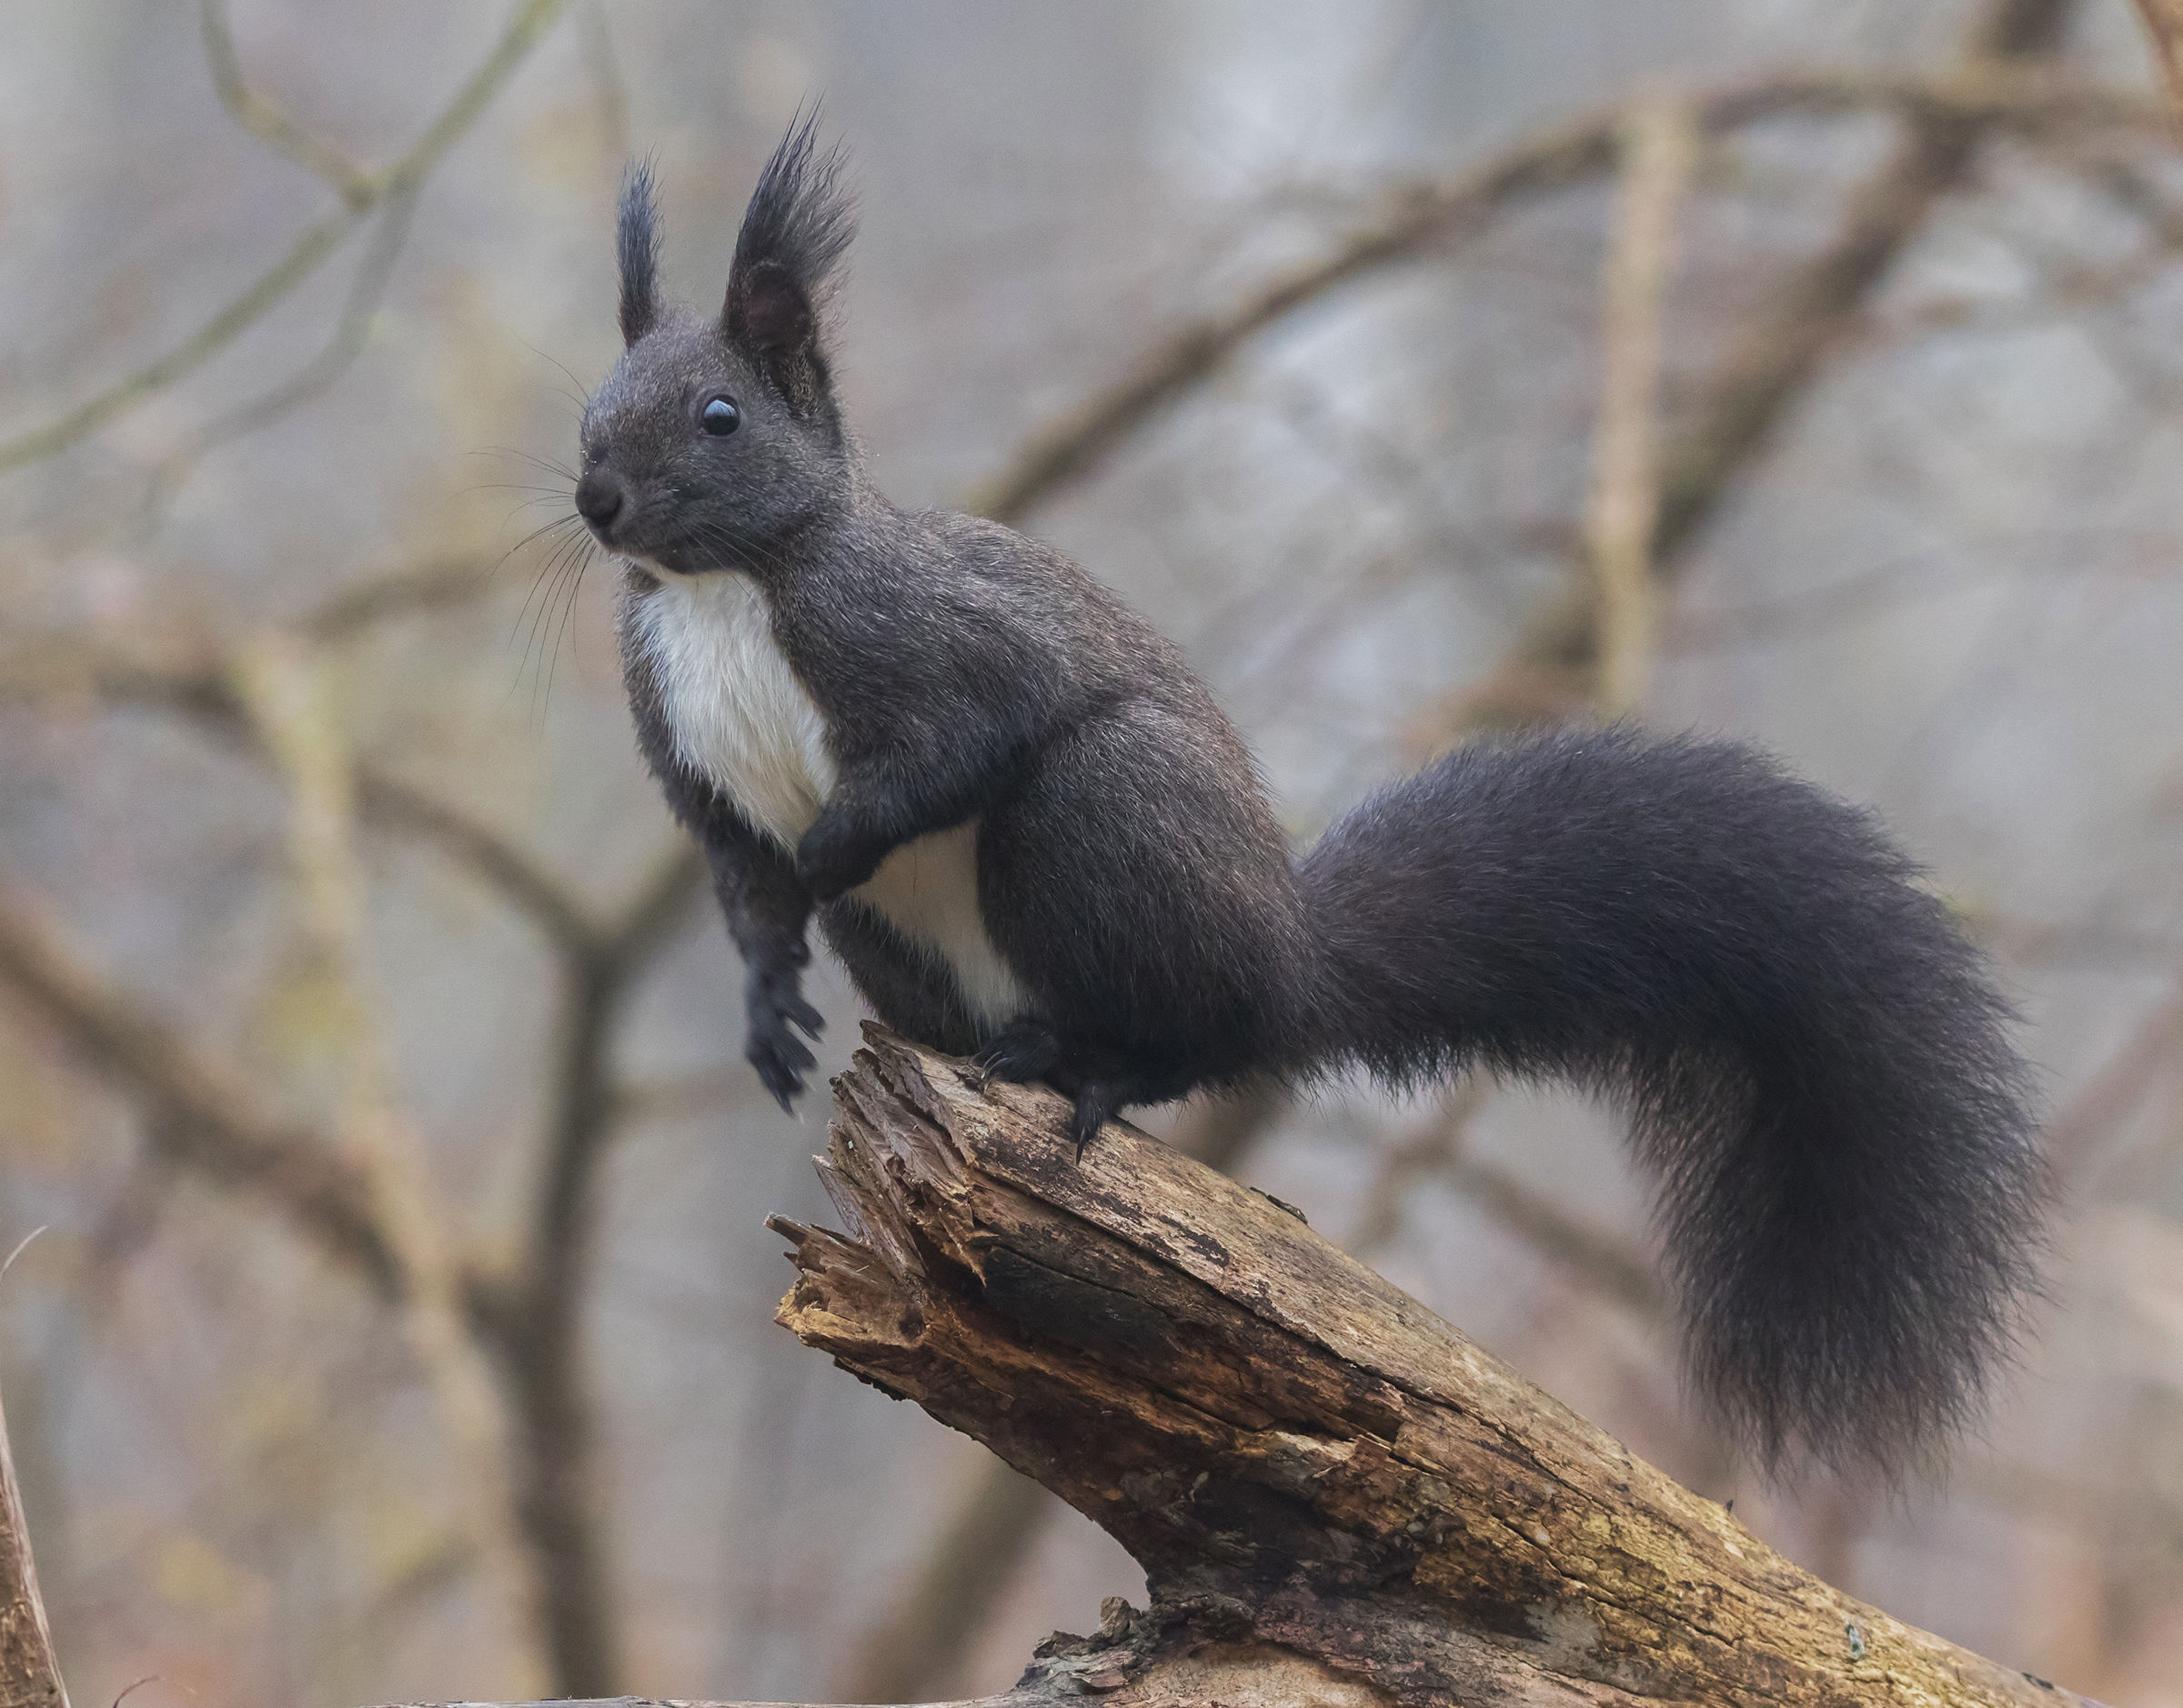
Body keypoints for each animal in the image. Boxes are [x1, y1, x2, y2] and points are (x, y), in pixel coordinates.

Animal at [572, 118, 2046, 1474]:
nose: (598, 500)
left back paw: (1093, 1068)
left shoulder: (933, 640)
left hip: (1107, 820)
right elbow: (745, 885)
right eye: (591, 407)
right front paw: (769, 1009)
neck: (724, 587)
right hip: (928, 946)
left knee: (1192, 1034)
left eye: (720, 416)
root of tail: (1286, 958)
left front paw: (833, 842)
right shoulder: (683, 752)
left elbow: (950, 752)